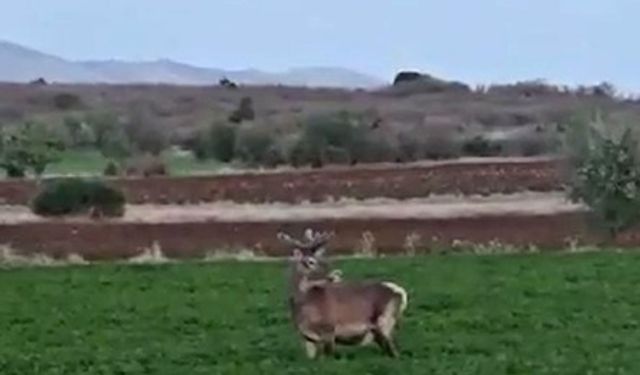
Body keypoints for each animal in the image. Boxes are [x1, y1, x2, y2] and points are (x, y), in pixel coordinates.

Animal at [278, 228, 408, 360]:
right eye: (310, 262)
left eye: (323, 260)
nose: (335, 275)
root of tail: (400, 292)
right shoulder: (307, 338)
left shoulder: (329, 330)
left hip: (385, 322)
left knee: (395, 352)